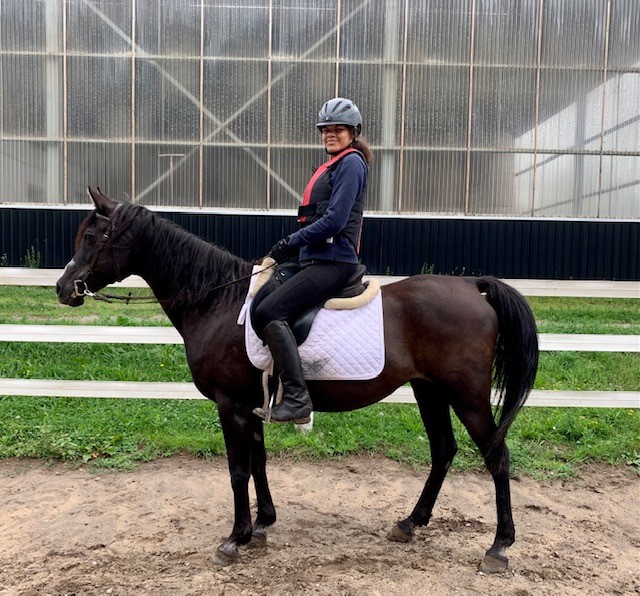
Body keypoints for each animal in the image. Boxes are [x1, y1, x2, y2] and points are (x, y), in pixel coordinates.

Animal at [56, 187, 539, 573]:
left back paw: (498, 548)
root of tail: (472, 286)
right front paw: (261, 525)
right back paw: (409, 523)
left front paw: (234, 539)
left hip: (466, 394)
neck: (217, 300)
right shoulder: (251, 405)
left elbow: (237, 470)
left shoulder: (230, 405)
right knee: (443, 450)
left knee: (497, 458)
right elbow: (258, 463)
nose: (63, 288)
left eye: (93, 237)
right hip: (430, 390)